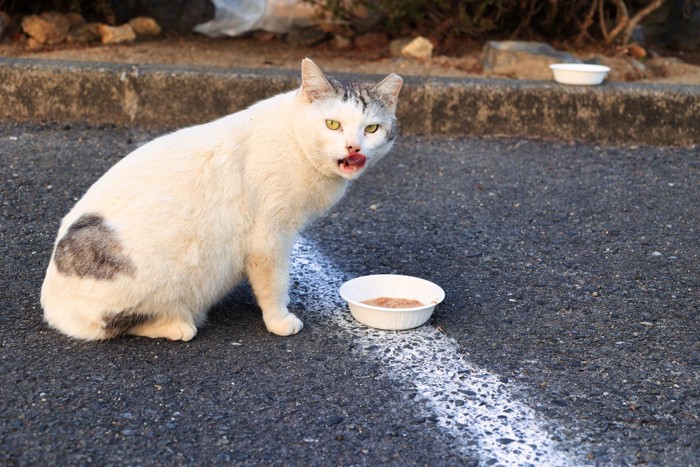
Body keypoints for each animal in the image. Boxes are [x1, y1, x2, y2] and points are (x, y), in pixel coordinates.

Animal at [41, 60, 402, 342]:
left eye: (371, 129)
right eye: (333, 124)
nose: (354, 147)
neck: (296, 140)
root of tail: (50, 307)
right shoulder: (269, 236)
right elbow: (275, 283)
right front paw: (279, 320)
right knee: (113, 325)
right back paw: (177, 325)